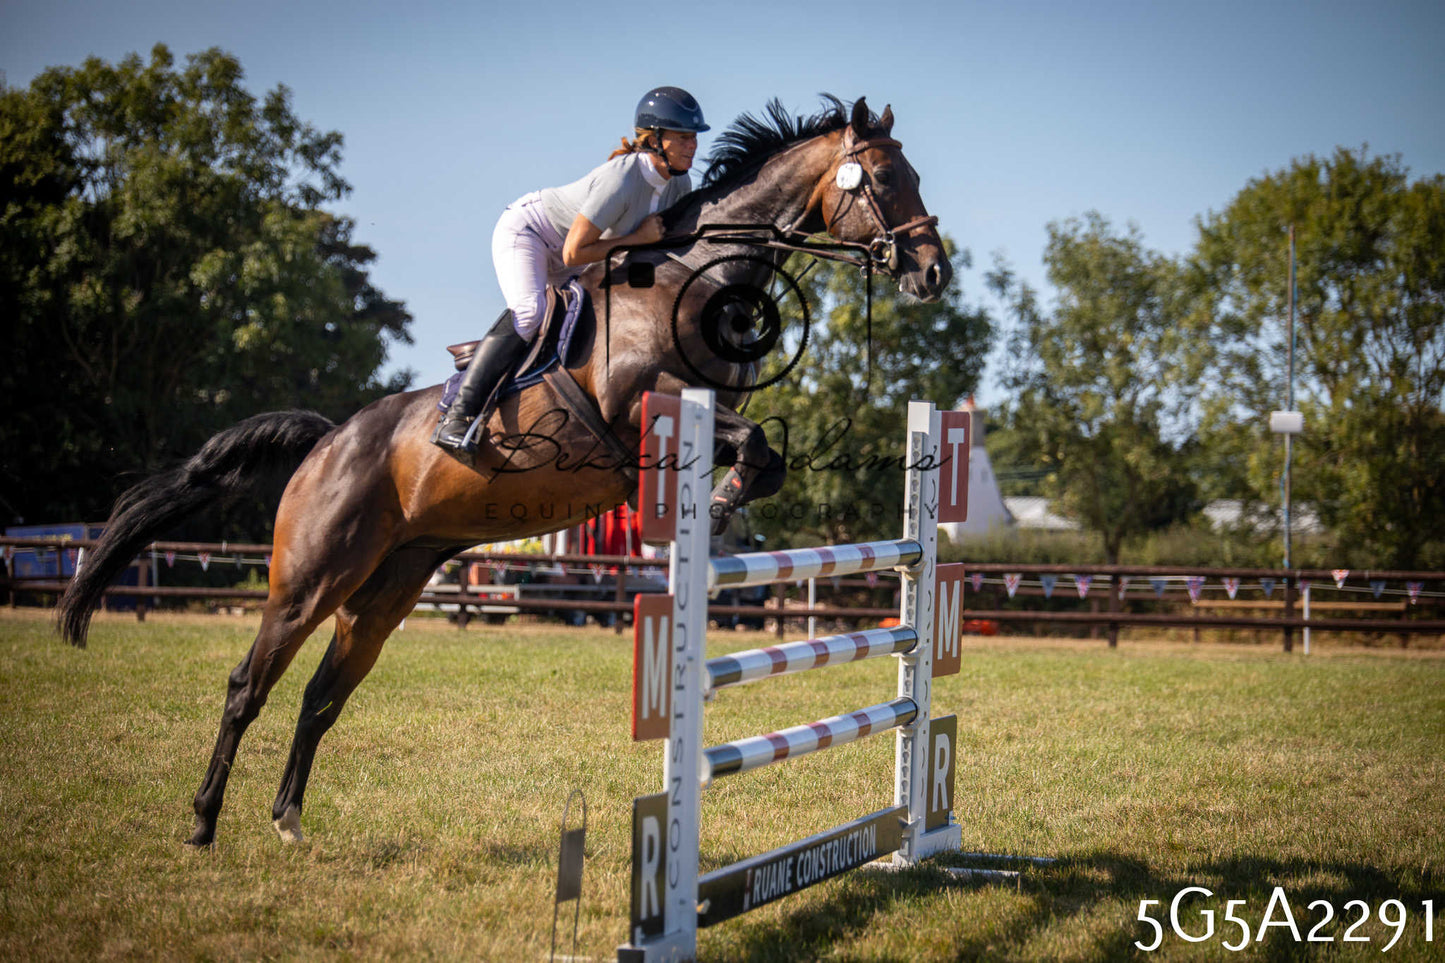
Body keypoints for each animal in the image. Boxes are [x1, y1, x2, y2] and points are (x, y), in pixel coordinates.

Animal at [57, 95, 952, 847]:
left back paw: (288, 822)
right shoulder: (641, 414)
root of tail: (328, 440)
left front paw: (726, 509)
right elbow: (755, 443)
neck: (686, 279)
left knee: (321, 695)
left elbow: (765, 455)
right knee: (249, 685)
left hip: (388, 584)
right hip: (309, 577)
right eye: (881, 179)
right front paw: (724, 507)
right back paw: (203, 822)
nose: (932, 273)